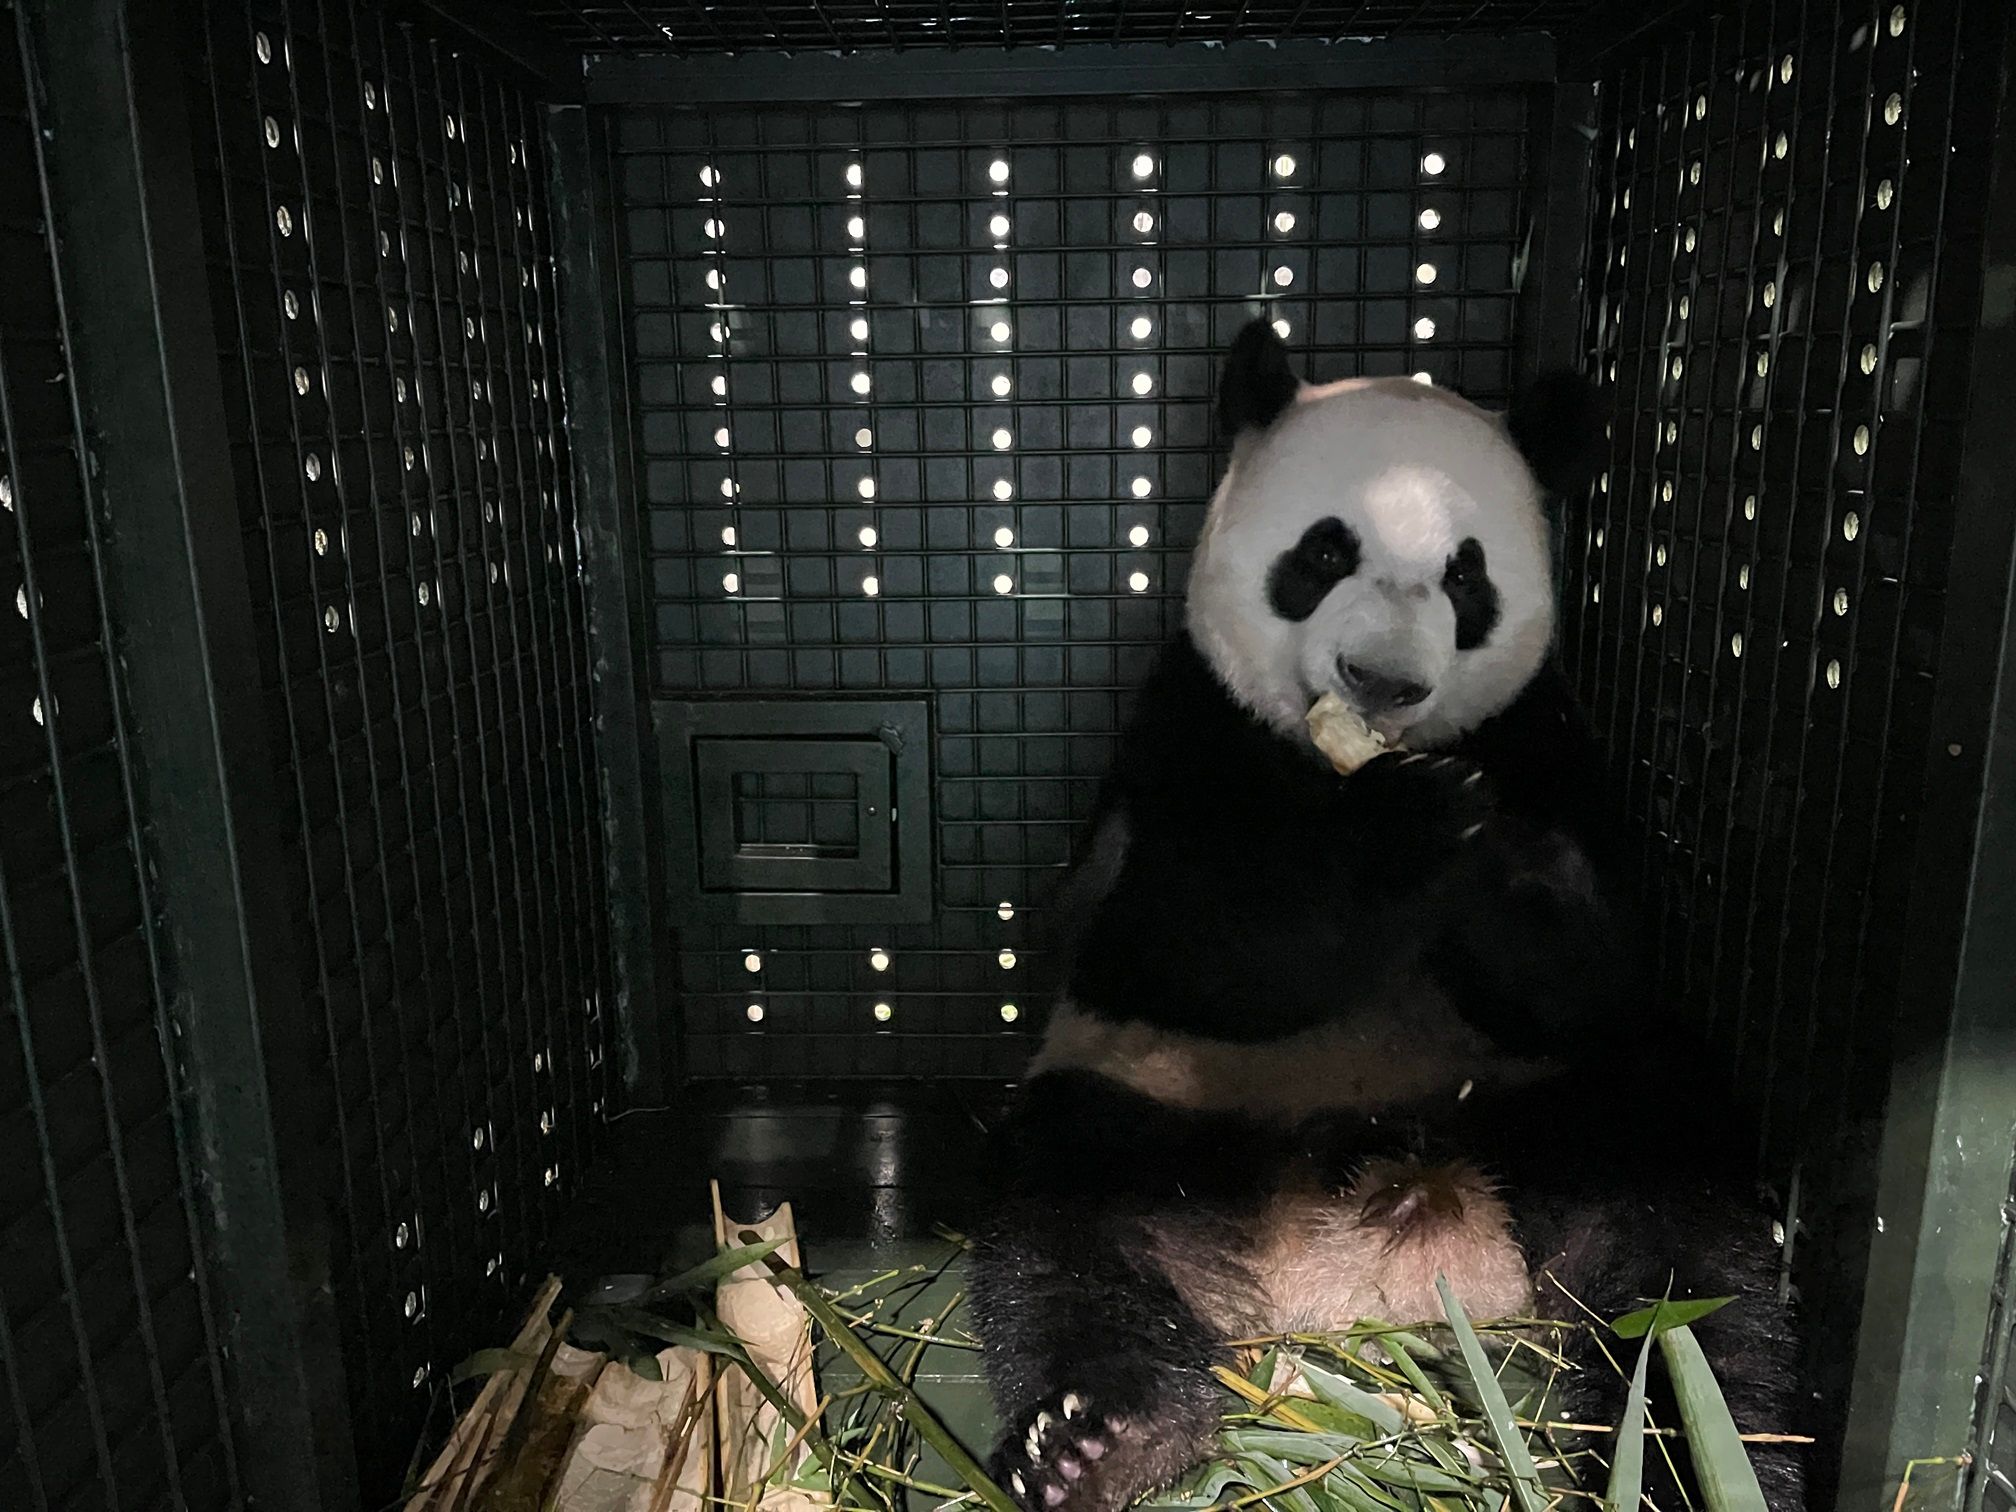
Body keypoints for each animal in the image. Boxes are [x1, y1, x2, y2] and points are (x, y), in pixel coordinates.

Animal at [967, 326, 1806, 1512]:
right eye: (1324, 553)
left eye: (1467, 574)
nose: (1383, 682)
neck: (1338, 760)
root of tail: (1357, 1276)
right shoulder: (1185, 728)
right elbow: (1159, 944)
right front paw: (1398, 830)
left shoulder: (1548, 737)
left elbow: (1604, 969)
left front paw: (1491, 854)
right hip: (1160, 1102)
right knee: (1064, 1229)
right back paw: (1099, 1436)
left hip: (1556, 1113)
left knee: (1684, 1250)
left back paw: (1692, 1445)